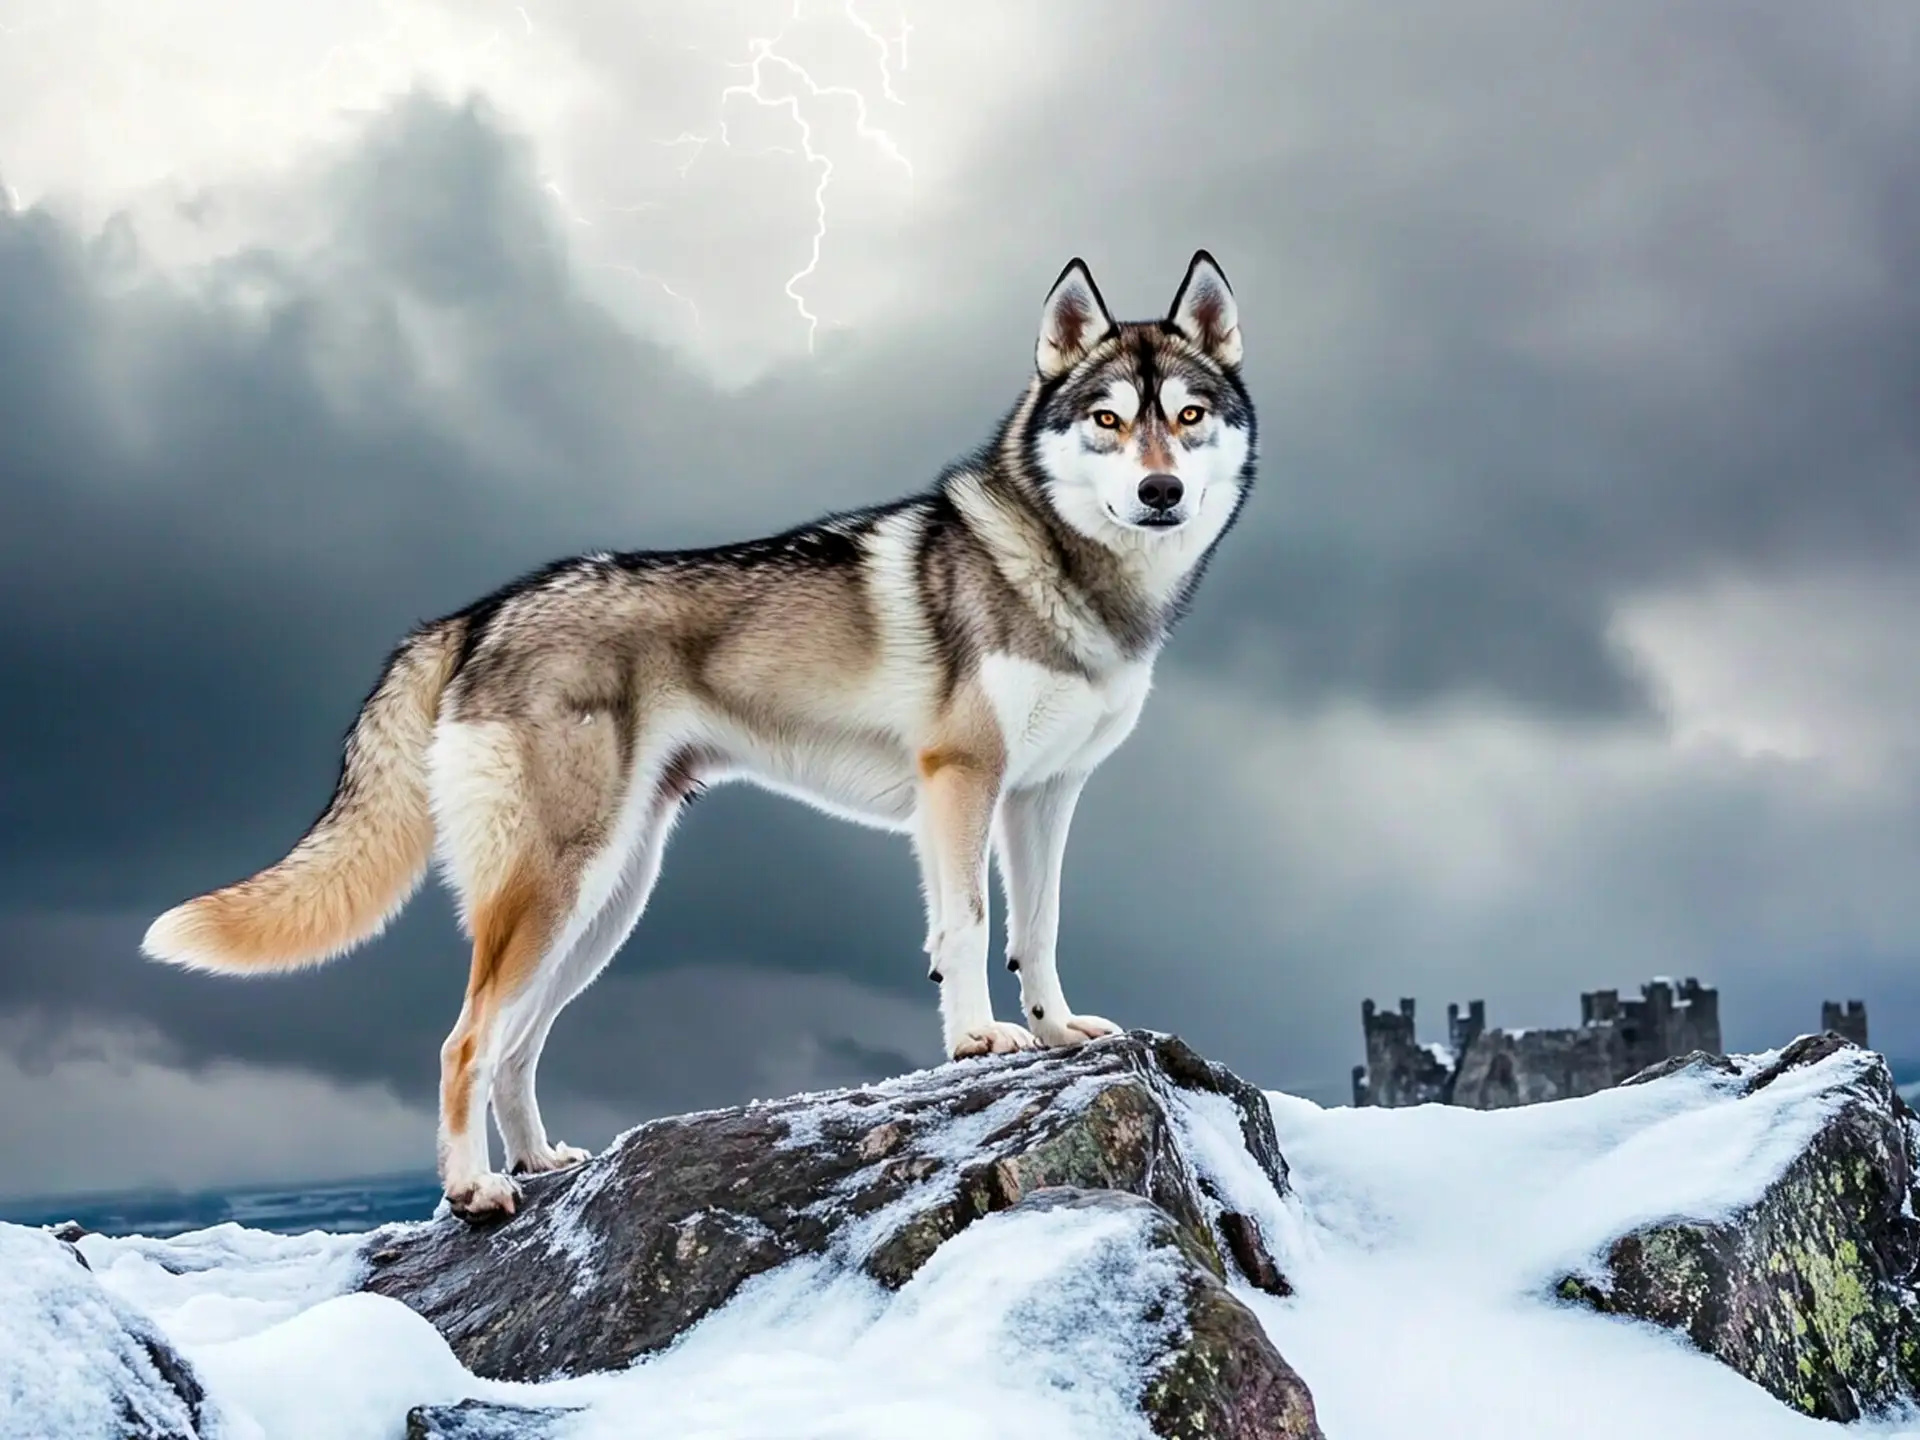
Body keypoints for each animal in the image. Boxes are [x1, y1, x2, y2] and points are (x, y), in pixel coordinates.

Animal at [139, 251, 1259, 1221]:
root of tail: (479, 611)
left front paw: (1056, 1031)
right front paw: (979, 1042)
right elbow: (968, 928)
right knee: (465, 1042)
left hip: (609, 901)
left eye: (1189, 417)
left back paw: (541, 1161)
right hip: (559, 885)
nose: (1160, 492)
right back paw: (476, 1191)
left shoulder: (1042, 797)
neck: (1073, 575)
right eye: (1108, 420)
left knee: (515, 1046)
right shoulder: (962, 779)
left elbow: (1041, 929)